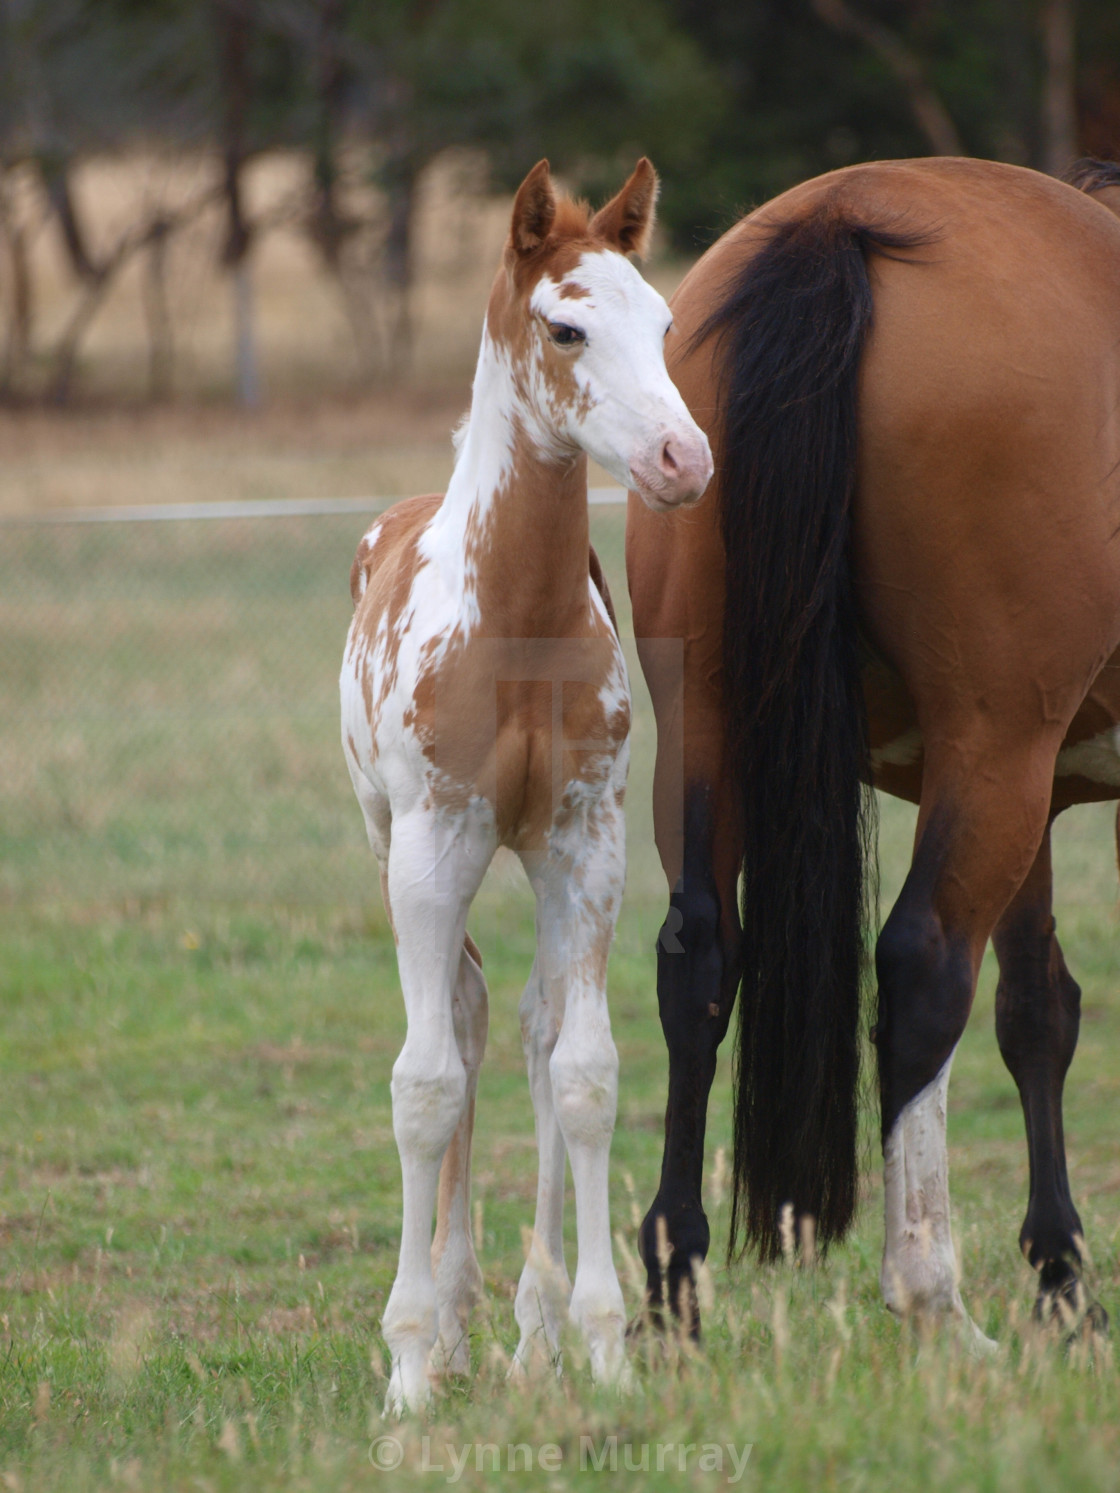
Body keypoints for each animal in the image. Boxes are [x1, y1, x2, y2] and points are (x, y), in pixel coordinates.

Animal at [340, 160, 710, 1409]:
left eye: (664, 324)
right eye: (566, 325)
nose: (684, 460)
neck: (514, 621)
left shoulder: (584, 842)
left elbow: (584, 1071)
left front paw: (598, 1342)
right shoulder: (432, 844)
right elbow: (424, 1083)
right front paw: (409, 1363)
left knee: (540, 1027)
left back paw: (531, 1326)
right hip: (393, 842)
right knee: (462, 1019)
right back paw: (452, 1322)